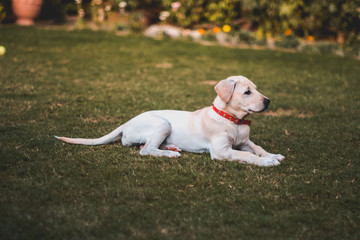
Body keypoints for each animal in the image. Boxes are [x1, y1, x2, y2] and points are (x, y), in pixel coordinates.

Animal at [56, 76, 286, 166]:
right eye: (247, 92)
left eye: (256, 89)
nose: (268, 101)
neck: (234, 121)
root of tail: (128, 122)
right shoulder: (222, 151)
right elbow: (247, 156)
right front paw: (267, 162)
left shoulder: (245, 142)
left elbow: (257, 148)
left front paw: (272, 155)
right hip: (162, 124)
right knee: (145, 150)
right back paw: (169, 153)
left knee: (145, 145)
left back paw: (172, 147)